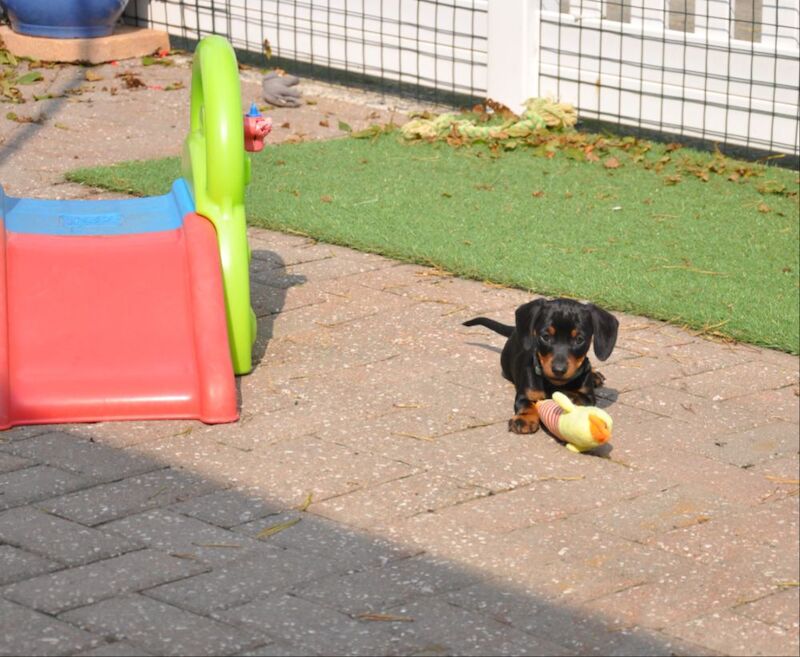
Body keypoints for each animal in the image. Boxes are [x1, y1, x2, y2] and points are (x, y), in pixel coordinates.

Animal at [462, 298, 620, 434]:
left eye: (579, 339)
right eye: (545, 337)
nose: (558, 370)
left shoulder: (588, 397)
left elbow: (577, 396)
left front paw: (564, 394)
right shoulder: (526, 393)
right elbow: (526, 404)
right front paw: (524, 419)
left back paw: (595, 375)